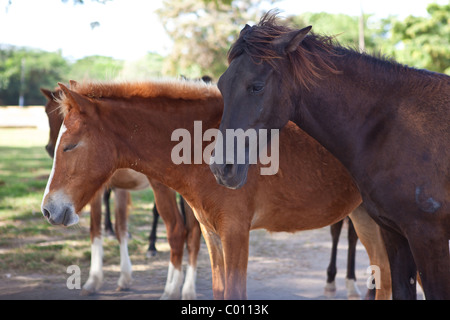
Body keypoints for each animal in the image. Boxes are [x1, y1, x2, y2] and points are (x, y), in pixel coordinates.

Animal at [39, 87, 201, 300]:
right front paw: (124, 277)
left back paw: (170, 286)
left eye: (57, 114)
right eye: (46, 113)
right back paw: (188, 289)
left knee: (177, 230)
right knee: (194, 232)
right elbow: (121, 228)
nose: (50, 148)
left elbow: (95, 229)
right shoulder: (120, 188)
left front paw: (93, 280)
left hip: (164, 189)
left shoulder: (98, 190)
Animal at [211, 11, 450, 298]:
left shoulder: (428, 237)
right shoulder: (395, 234)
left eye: (256, 87)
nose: (221, 168)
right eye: (221, 85)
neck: (390, 126)